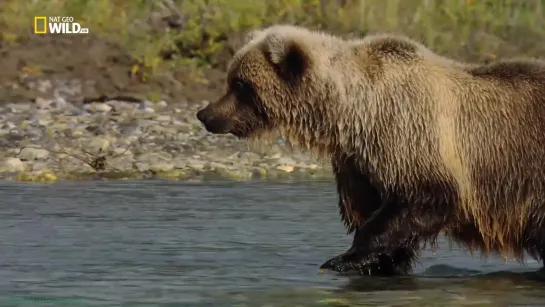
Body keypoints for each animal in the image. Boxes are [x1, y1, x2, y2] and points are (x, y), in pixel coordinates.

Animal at [196, 24, 544, 276]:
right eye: (232, 78)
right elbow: (379, 216)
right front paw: (382, 262)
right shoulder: (360, 165)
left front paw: (342, 259)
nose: (205, 114)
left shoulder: (412, 135)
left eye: (240, 84)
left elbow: (424, 199)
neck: (355, 114)